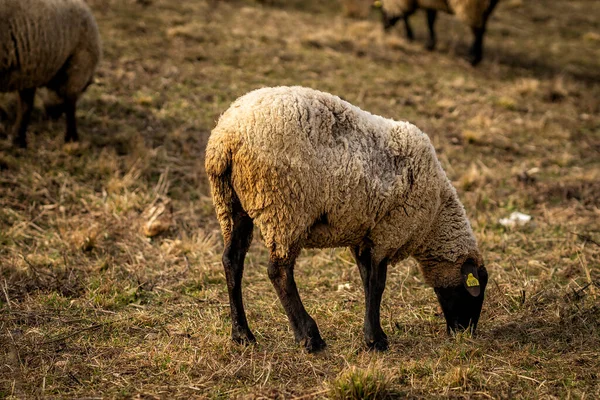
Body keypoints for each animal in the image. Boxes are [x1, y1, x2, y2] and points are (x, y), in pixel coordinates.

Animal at [206, 86, 488, 352]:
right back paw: (309, 337)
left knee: (232, 261)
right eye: (475, 291)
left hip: (231, 204)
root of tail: (226, 138)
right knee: (279, 272)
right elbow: (377, 284)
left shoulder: (365, 235)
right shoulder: (388, 232)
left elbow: (366, 280)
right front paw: (376, 339)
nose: (465, 332)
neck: (434, 219)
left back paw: (242, 334)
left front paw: (372, 333)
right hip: (284, 208)